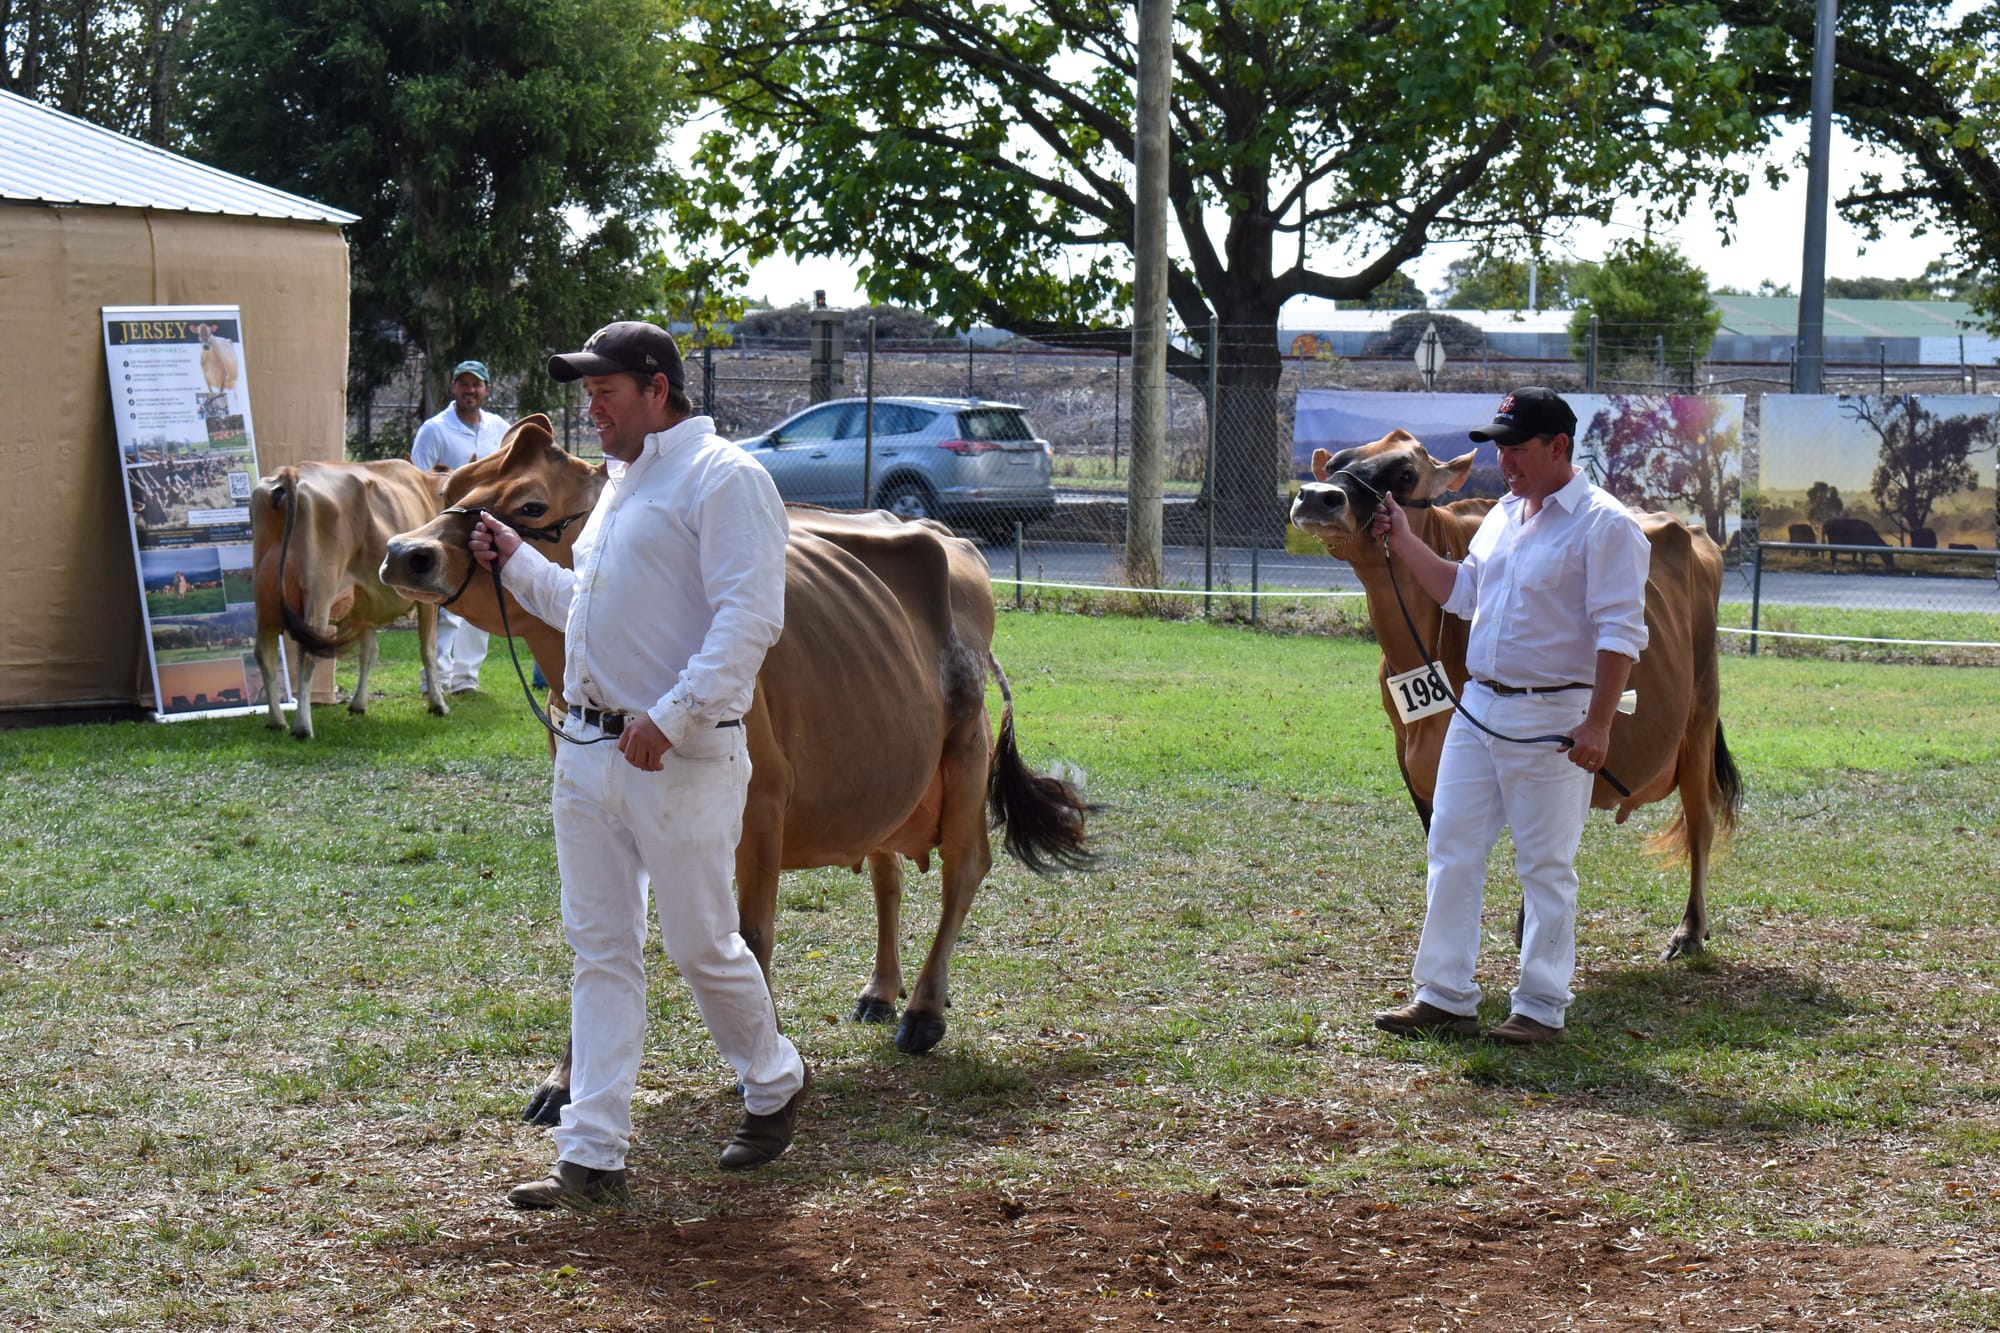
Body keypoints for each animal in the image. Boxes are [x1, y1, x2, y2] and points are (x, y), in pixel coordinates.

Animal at [252, 460, 451, 739]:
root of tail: (291, 472)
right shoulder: (427, 601)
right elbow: (429, 651)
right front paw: (438, 704)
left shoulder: (364, 603)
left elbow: (369, 653)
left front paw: (358, 704)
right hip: (319, 593)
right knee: (306, 654)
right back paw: (302, 727)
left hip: (264, 598)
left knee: (264, 652)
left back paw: (276, 721)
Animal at [379, 415, 1094, 1123]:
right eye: (451, 486)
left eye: (530, 505)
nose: (405, 552)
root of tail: (948, 537)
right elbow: (603, 940)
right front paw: (563, 1083)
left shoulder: (763, 802)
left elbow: (750, 935)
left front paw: (769, 1068)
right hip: (882, 772)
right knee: (886, 871)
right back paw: (879, 992)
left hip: (964, 747)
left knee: (964, 867)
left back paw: (922, 1011)